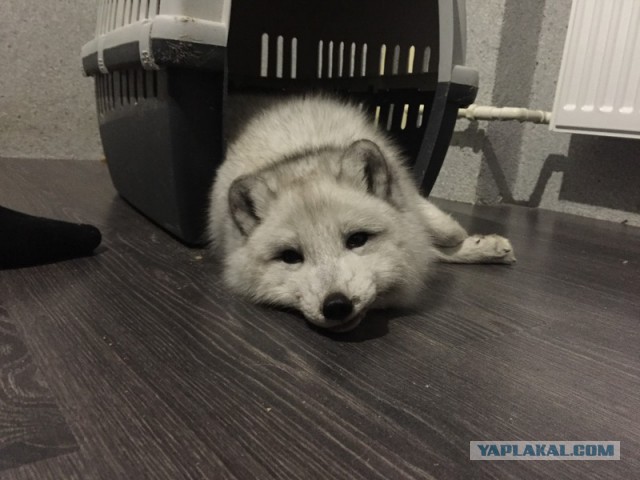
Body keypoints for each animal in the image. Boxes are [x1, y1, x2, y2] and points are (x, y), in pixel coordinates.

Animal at [208, 95, 515, 332]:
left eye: (357, 240)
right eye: (290, 257)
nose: (336, 306)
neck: (299, 154)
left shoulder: (410, 198)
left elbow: (443, 233)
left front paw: (477, 244)